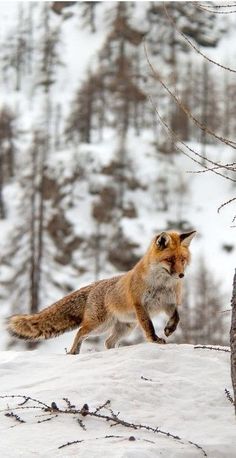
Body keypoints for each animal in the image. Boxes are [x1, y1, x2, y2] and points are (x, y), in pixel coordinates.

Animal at [6, 233, 195, 354]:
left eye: (182, 260)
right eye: (169, 260)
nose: (181, 275)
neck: (161, 285)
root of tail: (96, 284)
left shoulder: (169, 303)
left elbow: (177, 317)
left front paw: (170, 329)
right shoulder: (140, 305)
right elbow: (149, 326)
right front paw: (154, 340)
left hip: (125, 327)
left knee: (108, 341)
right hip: (99, 324)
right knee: (80, 332)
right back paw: (73, 352)